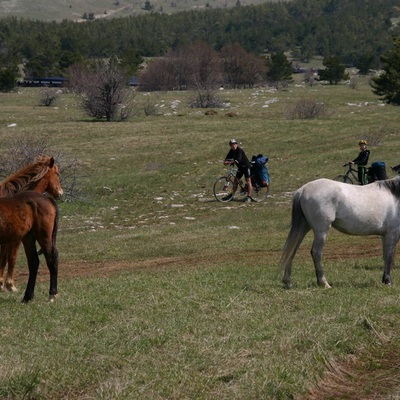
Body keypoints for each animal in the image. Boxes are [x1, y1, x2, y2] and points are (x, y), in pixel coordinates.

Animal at [0, 157, 62, 294]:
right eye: (57, 173)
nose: (60, 193)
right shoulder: (15, 239)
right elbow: (10, 258)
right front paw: (8, 285)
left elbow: (5, 258)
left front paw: (4, 284)